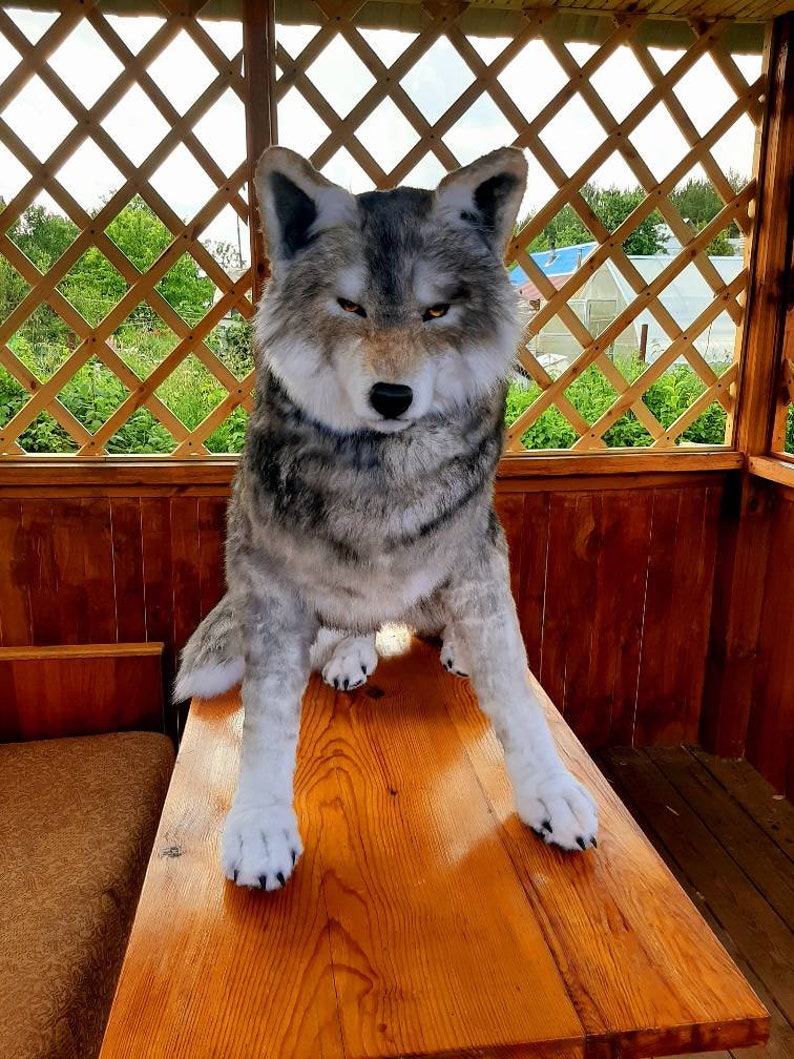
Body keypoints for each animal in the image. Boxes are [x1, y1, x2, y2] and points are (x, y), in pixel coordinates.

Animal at [174, 145, 598, 890]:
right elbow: (266, 723)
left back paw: (451, 646)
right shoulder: (270, 589)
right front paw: (259, 826)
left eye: (436, 311)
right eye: (350, 306)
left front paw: (551, 794)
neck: (381, 467)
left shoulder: (480, 560)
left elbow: (516, 692)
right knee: (360, 623)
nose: (392, 396)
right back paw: (352, 650)